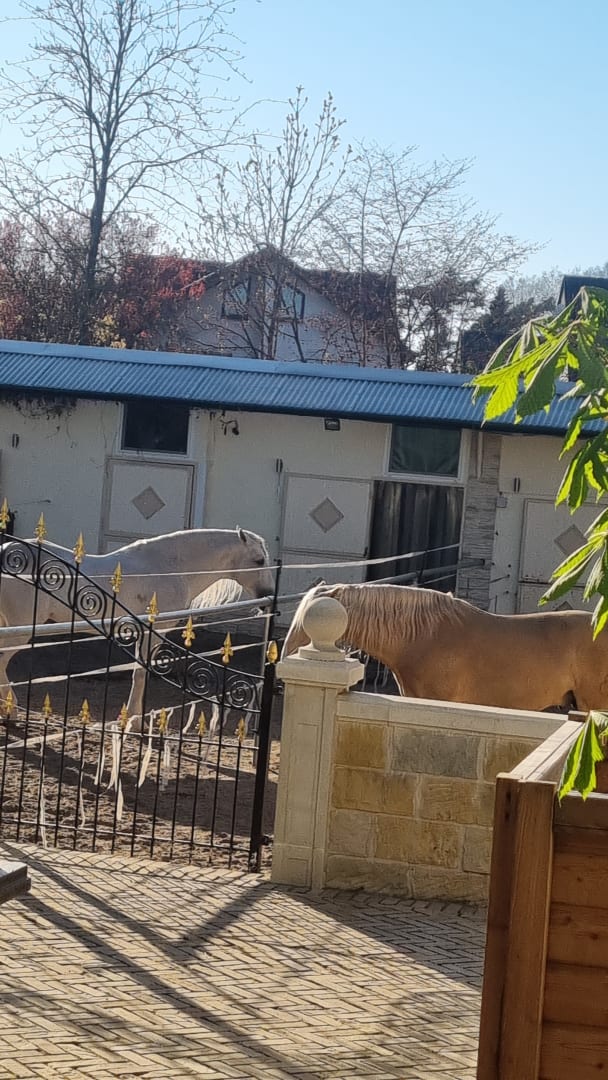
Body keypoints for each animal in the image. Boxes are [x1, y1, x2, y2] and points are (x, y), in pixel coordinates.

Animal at [0, 527, 274, 716]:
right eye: (259, 560)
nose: (268, 596)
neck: (170, 567)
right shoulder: (151, 633)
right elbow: (141, 674)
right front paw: (134, 719)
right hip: (19, 631)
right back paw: (11, 710)